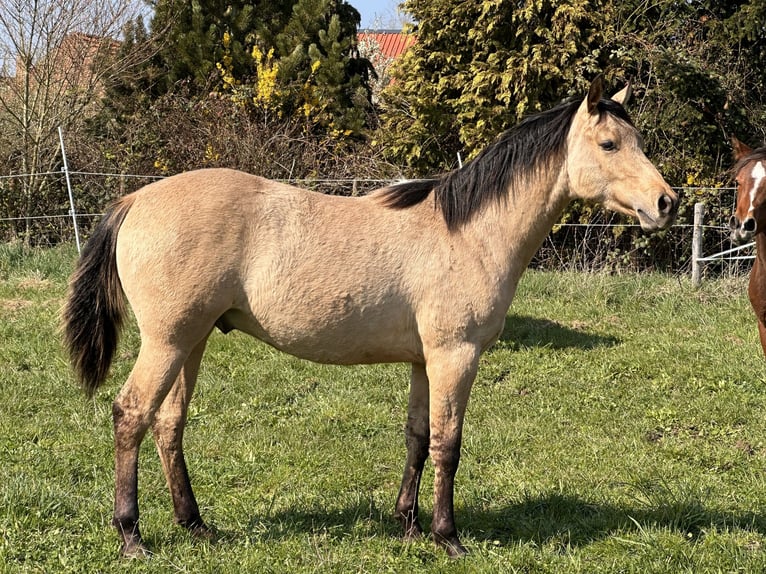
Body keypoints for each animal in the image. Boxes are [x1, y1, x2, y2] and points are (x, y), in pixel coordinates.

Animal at [63, 76, 678, 558]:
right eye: (609, 143)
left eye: (639, 141)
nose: (666, 203)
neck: (467, 232)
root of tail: (136, 201)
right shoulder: (456, 356)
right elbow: (448, 445)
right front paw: (447, 536)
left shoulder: (425, 362)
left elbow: (418, 437)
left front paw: (408, 526)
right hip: (167, 342)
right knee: (131, 415)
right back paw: (131, 535)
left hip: (191, 342)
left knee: (168, 424)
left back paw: (195, 525)